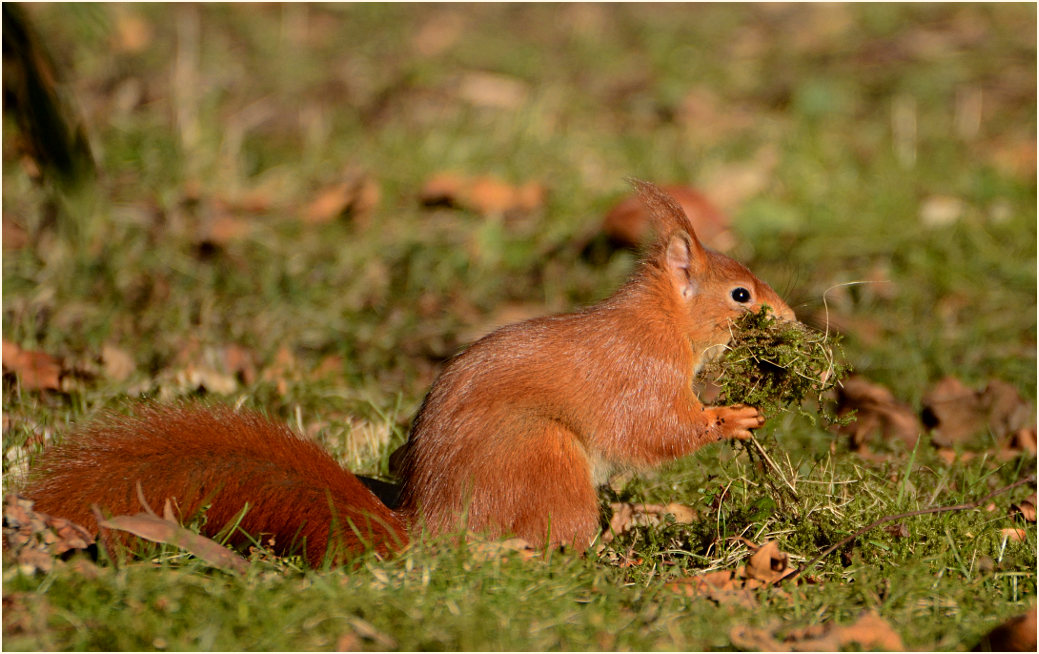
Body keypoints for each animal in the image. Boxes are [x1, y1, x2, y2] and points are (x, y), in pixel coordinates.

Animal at [22, 180, 795, 567]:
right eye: (740, 295)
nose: (789, 319)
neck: (662, 321)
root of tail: (434, 526)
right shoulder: (638, 374)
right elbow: (655, 431)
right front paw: (731, 418)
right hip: (545, 459)